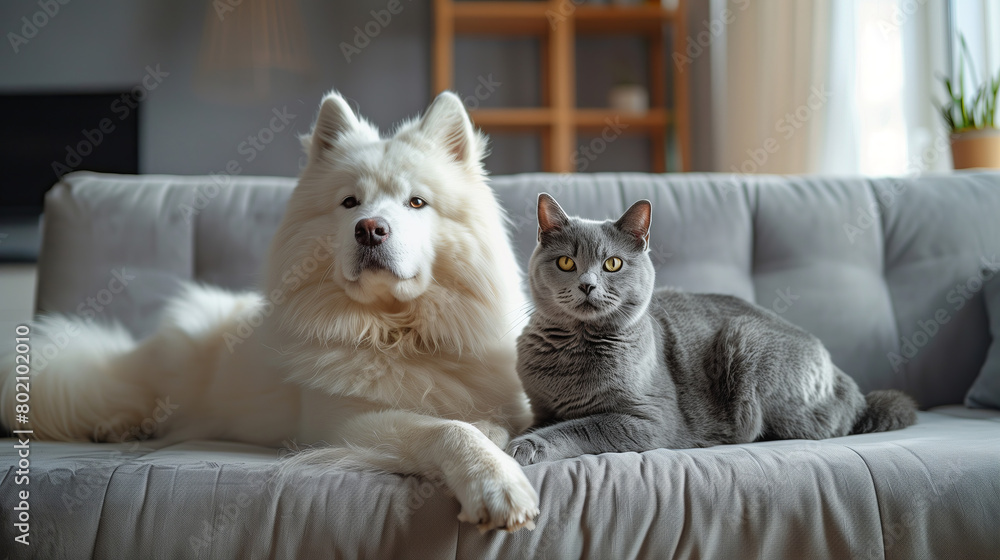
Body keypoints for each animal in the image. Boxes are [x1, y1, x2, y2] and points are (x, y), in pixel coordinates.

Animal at [1, 89, 540, 532]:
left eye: (416, 203)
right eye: (350, 203)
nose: (370, 229)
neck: (394, 330)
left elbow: (485, 424)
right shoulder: (343, 424)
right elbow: (448, 430)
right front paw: (497, 485)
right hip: (165, 370)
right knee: (127, 391)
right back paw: (121, 424)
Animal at [504, 195, 916, 466]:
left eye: (613, 264)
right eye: (566, 262)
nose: (587, 285)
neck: (575, 348)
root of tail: (845, 380)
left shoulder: (647, 421)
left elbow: (580, 427)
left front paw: (524, 447)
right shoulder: (541, 405)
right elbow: (542, 421)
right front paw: (514, 437)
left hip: (744, 339)